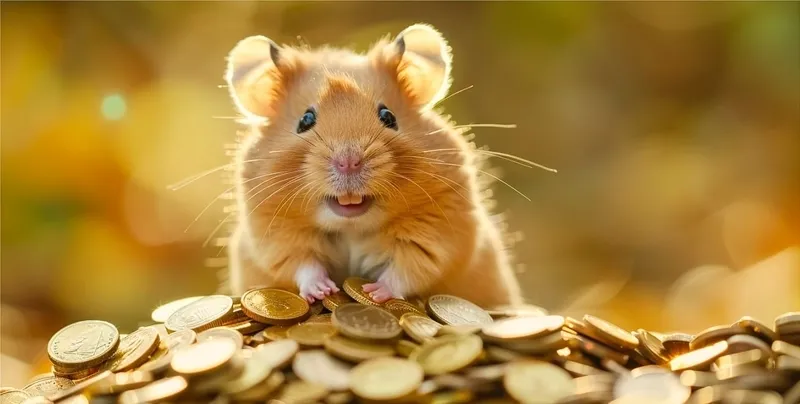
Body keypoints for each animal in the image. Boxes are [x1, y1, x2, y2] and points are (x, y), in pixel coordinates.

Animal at [222, 23, 524, 308]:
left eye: (388, 117)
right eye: (305, 121)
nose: (348, 162)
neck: (352, 226)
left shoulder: (439, 229)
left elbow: (407, 267)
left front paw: (373, 293)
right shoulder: (272, 234)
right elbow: (301, 263)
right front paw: (323, 291)